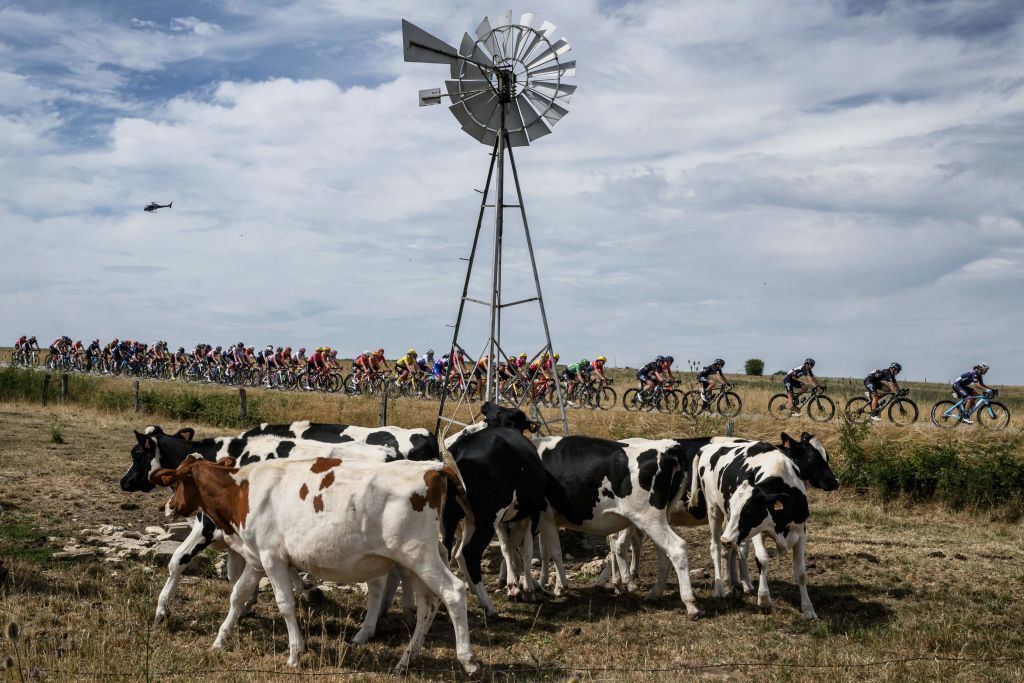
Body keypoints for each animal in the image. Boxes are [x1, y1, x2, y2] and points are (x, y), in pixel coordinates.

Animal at [120, 421, 440, 626]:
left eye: (136, 453)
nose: (123, 482)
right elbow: (236, 574)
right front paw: (248, 604)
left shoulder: (207, 526)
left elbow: (177, 561)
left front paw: (161, 610)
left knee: (387, 577)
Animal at [154, 456, 479, 675]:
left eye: (176, 483)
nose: (167, 507)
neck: (242, 491)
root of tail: (432, 468)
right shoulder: (257, 560)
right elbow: (237, 596)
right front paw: (221, 639)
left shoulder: (273, 558)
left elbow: (285, 604)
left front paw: (295, 654)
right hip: (415, 561)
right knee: (428, 604)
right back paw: (405, 660)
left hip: (419, 555)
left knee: (453, 592)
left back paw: (467, 660)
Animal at [442, 403, 548, 618]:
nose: (487, 405)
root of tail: (458, 453)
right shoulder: (531, 514)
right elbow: (525, 550)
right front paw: (526, 588)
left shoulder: (501, 522)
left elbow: (508, 548)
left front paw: (513, 584)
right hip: (486, 518)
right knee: (469, 553)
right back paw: (488, 606)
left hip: (453, 517)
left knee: (448, 551)